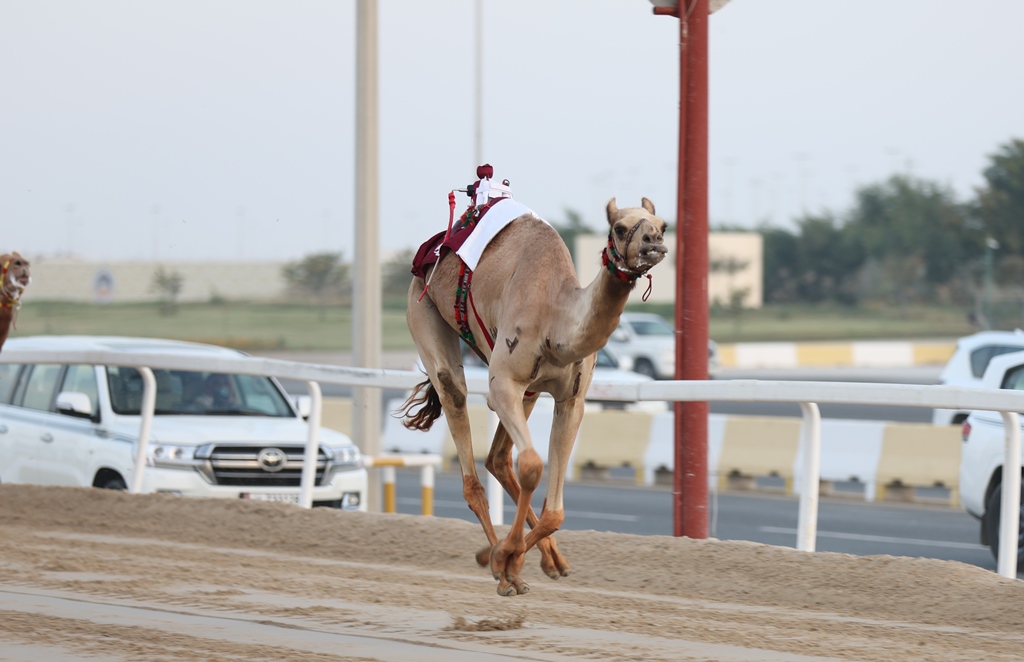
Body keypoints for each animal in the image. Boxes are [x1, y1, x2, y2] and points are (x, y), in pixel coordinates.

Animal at [395, 175, 667, 598]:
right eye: (620, 228)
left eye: (663, 224)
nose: (653, 241)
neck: (556, 318)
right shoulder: (502, 381)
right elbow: (533, 465)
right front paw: (503, 560)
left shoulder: (571, 399)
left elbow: (554, 508)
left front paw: (523, 561)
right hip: (423, 310)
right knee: (458, 409)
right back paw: (499, 563)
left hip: (530, 391)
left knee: (497, 459)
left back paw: (543, 561)